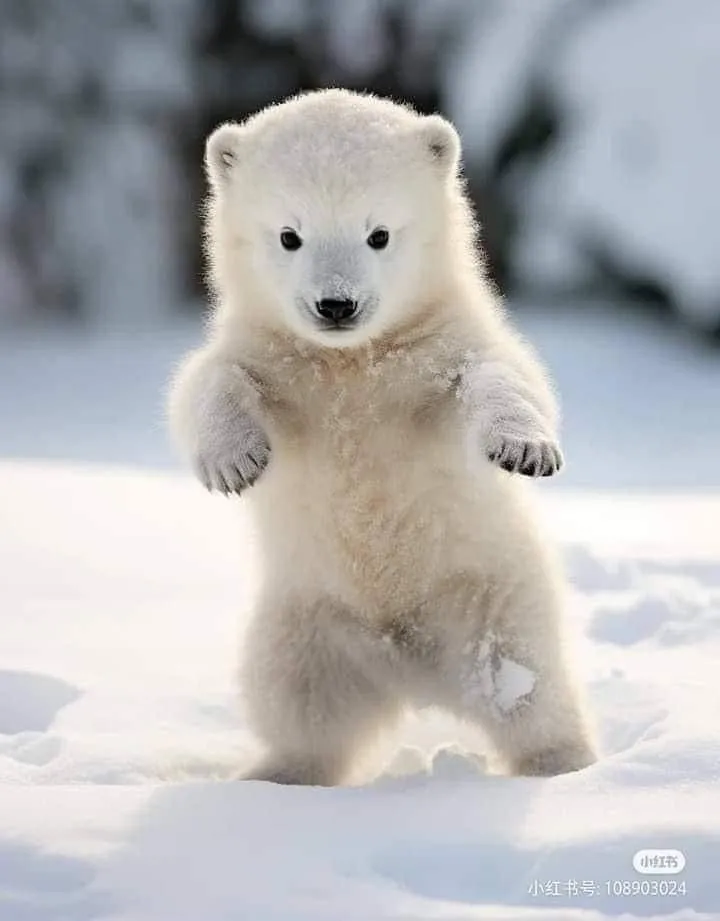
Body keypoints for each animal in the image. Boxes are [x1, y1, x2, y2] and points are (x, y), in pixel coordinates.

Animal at [168, 88, 597, 786]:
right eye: (289, 235)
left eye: (379, 234)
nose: (336, 305)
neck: (352, 364)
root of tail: (410, 667)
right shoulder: (274, 357)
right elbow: (207, 382)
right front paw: (235, 462)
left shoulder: (432, 355)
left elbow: (501, 374)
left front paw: (523, 448)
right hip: (306, 623)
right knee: (299, 709)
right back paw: (272, 777)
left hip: (492, 596)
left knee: (529, 690)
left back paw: (567, 767)